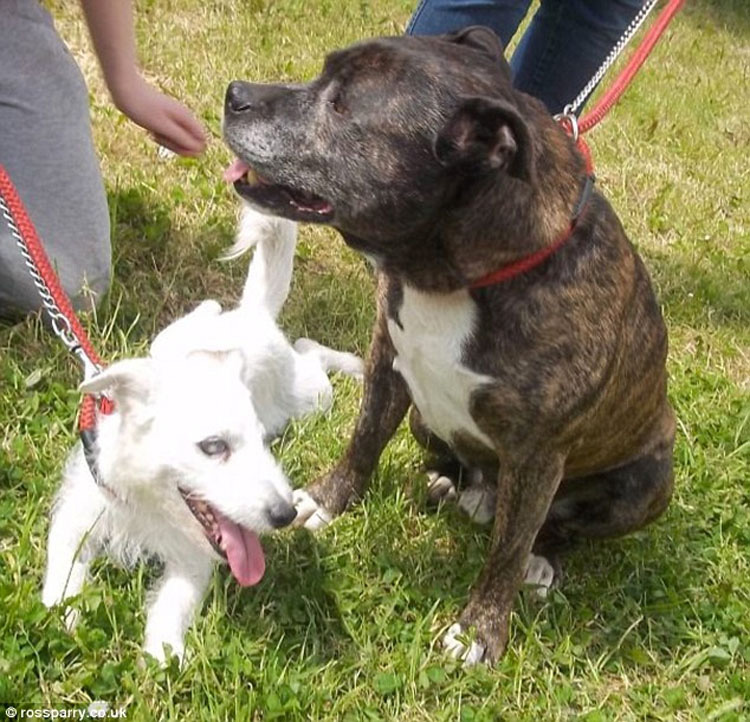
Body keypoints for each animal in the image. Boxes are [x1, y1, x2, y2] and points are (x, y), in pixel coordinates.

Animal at [41, 205, 364, 660]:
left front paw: (164, 655)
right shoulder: (77, 515)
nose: (286, 514)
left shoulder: (193, 561)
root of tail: (254, 315)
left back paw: (356, 364)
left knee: (310, 350)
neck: (148, 503)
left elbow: (173, 604)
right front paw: (63, 613)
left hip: (312, 395)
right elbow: (63, 562)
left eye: (263, 442)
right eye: (214, 447)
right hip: (172, 341)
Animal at [222, 28, 676, 660]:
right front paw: (327, 501)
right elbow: (363, 440)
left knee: (551, 526)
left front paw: (481, 630)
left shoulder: (540, 452)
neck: (457, 279)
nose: (235, 94)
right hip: (426, 418)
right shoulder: (388, 361)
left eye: (340, 105)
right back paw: (451, 482)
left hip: (649, 483)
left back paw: (542, 557)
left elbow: (507, 549)